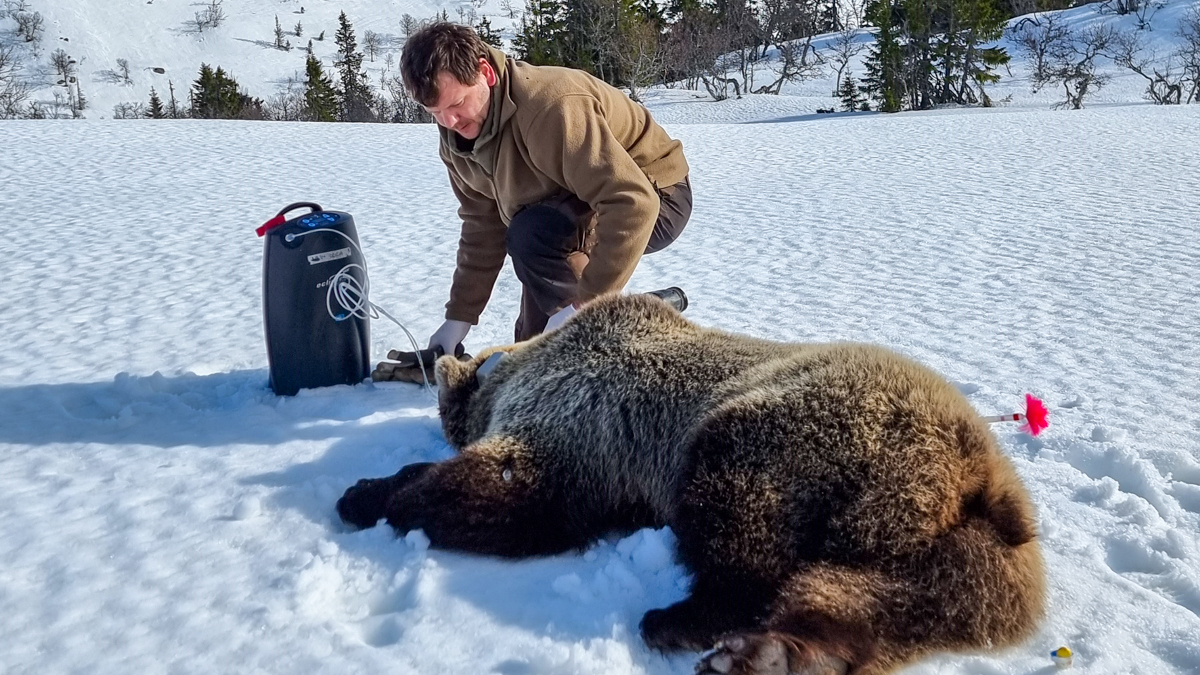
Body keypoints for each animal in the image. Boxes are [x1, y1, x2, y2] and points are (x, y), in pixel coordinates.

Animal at [337, 293, 1045, 675]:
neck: (515, 371)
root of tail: (977, 478)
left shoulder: (577, 425)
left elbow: (516, 497)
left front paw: (367, 493)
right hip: (969, 564)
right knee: (871, 599)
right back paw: (776, 651)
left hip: (798, 439)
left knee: (740, 522)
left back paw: (680, 619)